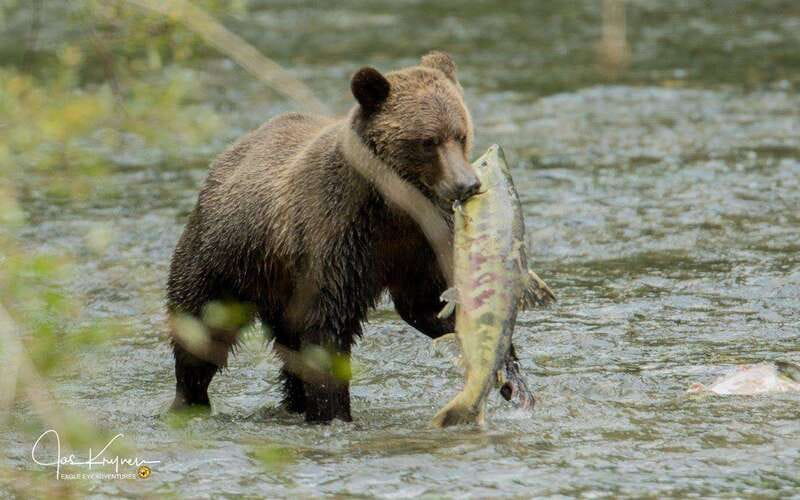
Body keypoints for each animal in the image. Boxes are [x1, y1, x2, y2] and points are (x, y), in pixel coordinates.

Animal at [166, 51, 520, 423]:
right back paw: (189, 400)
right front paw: (334, 412)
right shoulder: (338, 238)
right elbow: (328, 328)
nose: (467, 184)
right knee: (200, 331)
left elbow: (432, 303)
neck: (393, 205)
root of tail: (226, 156)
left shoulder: (421, 240)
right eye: (428, 141)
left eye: (460, 134)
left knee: (288, 347)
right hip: (224, 259)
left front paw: (505, 367)